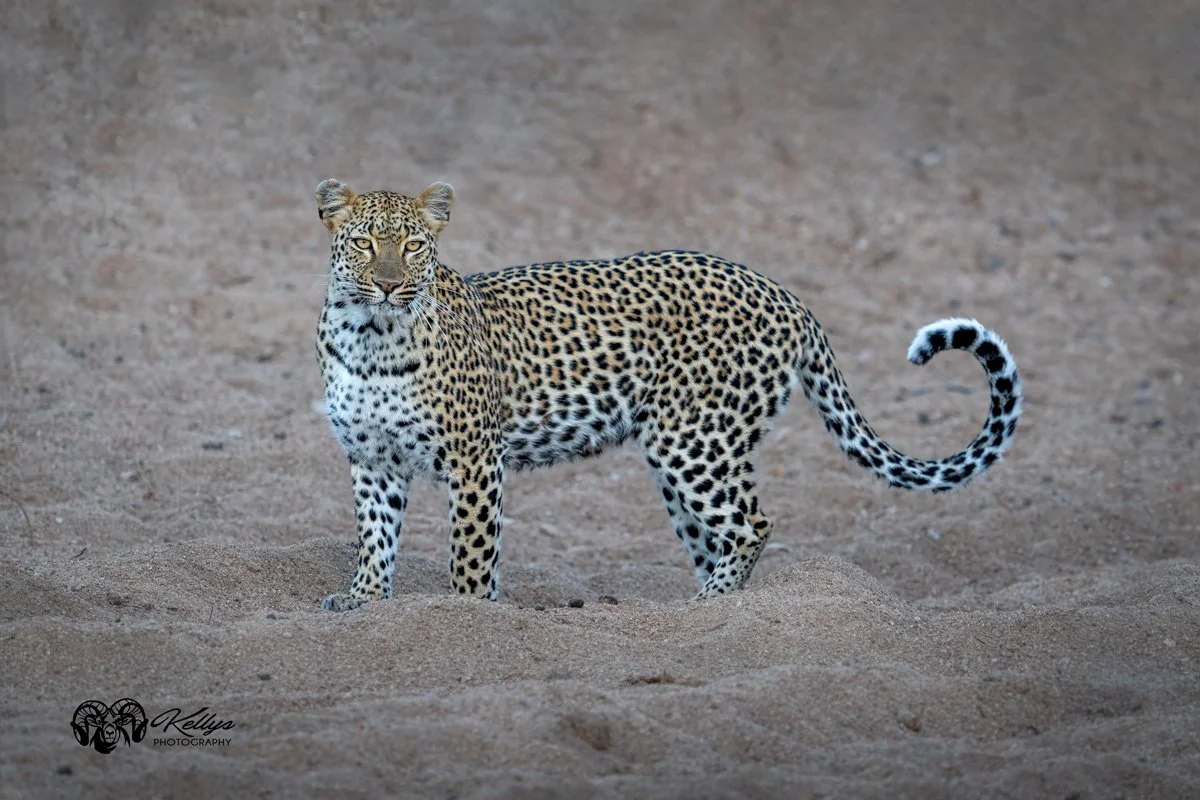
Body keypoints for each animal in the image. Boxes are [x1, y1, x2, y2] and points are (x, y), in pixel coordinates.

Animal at [313, 178, 1023, 611]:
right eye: (363, 243)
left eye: (413, 246)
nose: (388, 285)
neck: (370, 339)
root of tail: (784, 293)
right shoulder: (371, 459)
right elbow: (374, 538)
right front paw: (362, 601)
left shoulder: (473, 461)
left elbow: (470, 553)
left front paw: (465, 615)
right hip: (687, 455)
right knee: (720, 536)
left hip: (692, 439)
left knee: (753, 523)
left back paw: (707, 607)